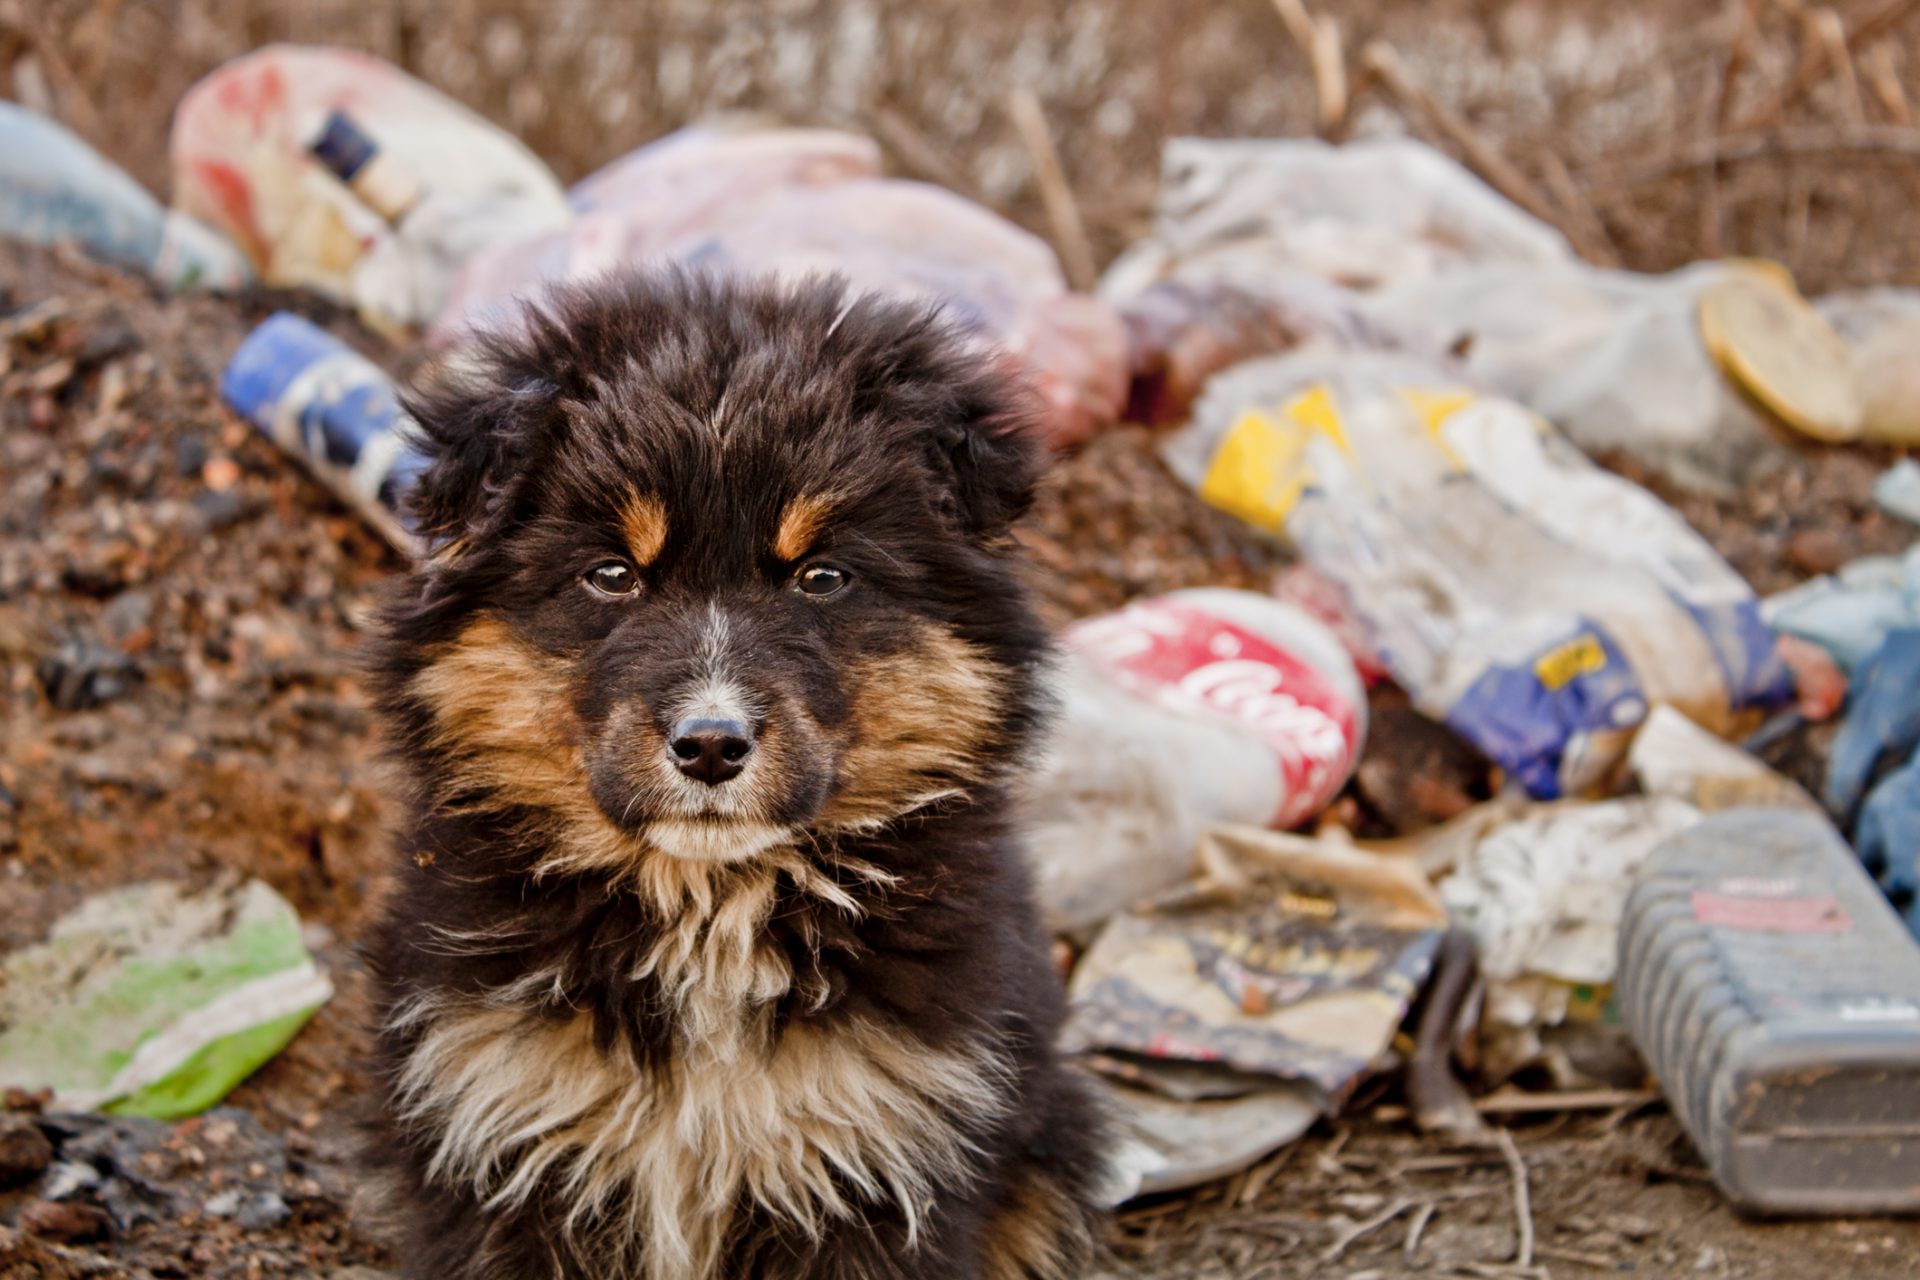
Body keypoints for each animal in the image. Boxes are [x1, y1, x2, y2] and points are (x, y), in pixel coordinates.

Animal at [360, 272, 1113, 1280]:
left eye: (822, 577)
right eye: (612, 574)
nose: (712, 746)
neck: (708, 917)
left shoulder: (878, 1159)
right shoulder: (504, 1137)